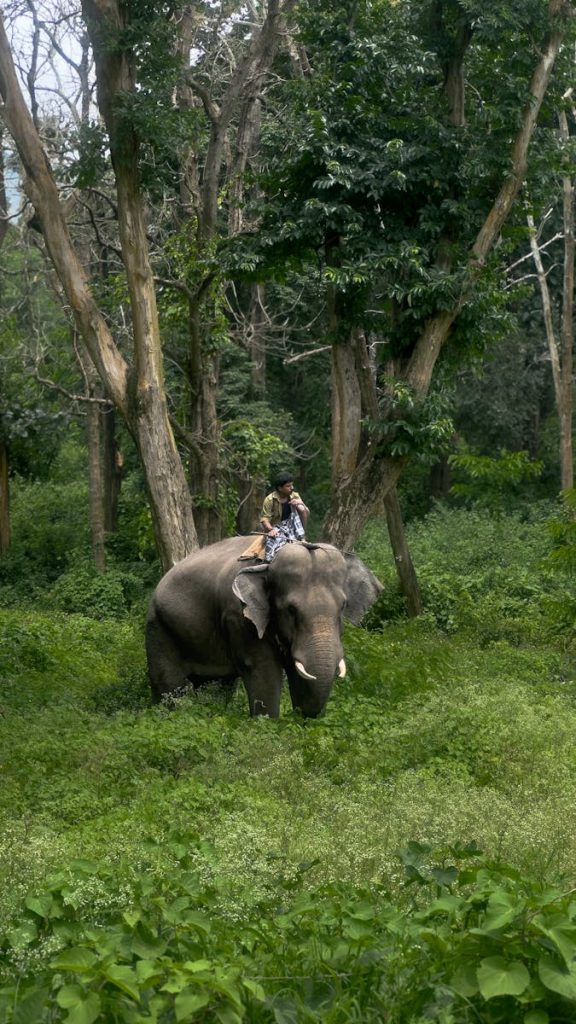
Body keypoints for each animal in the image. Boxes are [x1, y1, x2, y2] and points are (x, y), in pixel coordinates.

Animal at [145, 536, 381, 720]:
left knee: (218, 685)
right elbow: (263, 668)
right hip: (159, 628)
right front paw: (268, 724)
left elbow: (297, 671)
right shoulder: (239, 616)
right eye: (291, 610)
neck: (268, 563)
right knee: (171, 688)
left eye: (342, 606)